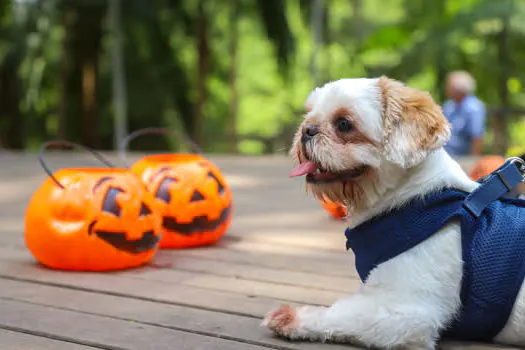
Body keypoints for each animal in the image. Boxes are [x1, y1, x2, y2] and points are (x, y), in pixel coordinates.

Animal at [262, 77, 524, 350]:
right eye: (309, 113)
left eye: (344, 124)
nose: (307, 130)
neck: (412, 199)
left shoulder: (404, 311)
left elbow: (341, 313)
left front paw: (294, 317)